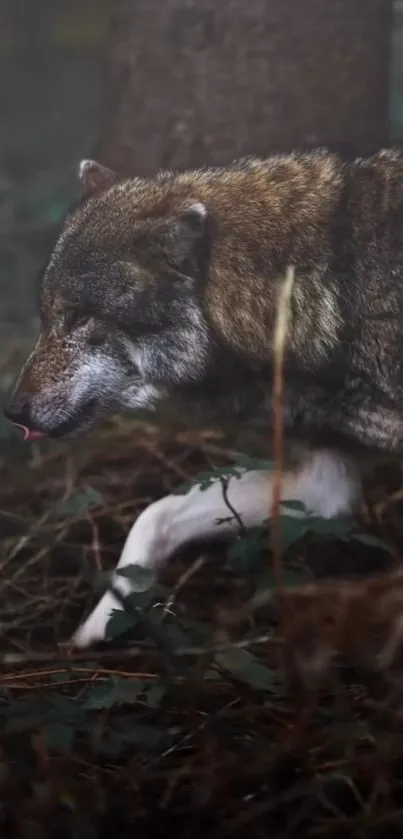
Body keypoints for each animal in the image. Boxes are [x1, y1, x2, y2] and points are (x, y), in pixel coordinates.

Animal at [4, 151, 403, 648]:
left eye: (79, 318)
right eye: (46, 317)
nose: (12, 411)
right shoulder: (327, 481)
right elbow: (153, 516)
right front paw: (92, 632)